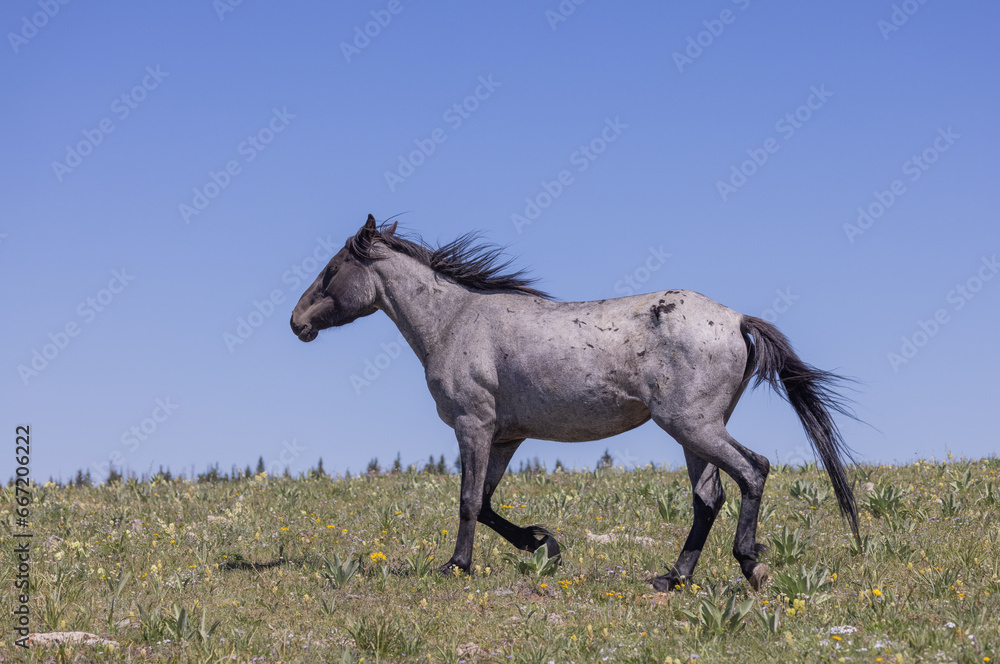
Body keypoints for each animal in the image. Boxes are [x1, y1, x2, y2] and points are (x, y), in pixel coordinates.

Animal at [290, 215, 859, 591]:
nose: (297, 322)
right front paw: (542, 544)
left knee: (753, 470)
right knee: (709, 498)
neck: (455, 321)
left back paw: (750, 564)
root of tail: (736, 319)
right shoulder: (506, 436)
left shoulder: (473, 426)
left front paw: (456, 565)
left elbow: (469, 501)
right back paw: (672, 578)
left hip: (693, 425)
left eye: (332, 269)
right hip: (694, 431)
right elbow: (489, 504)